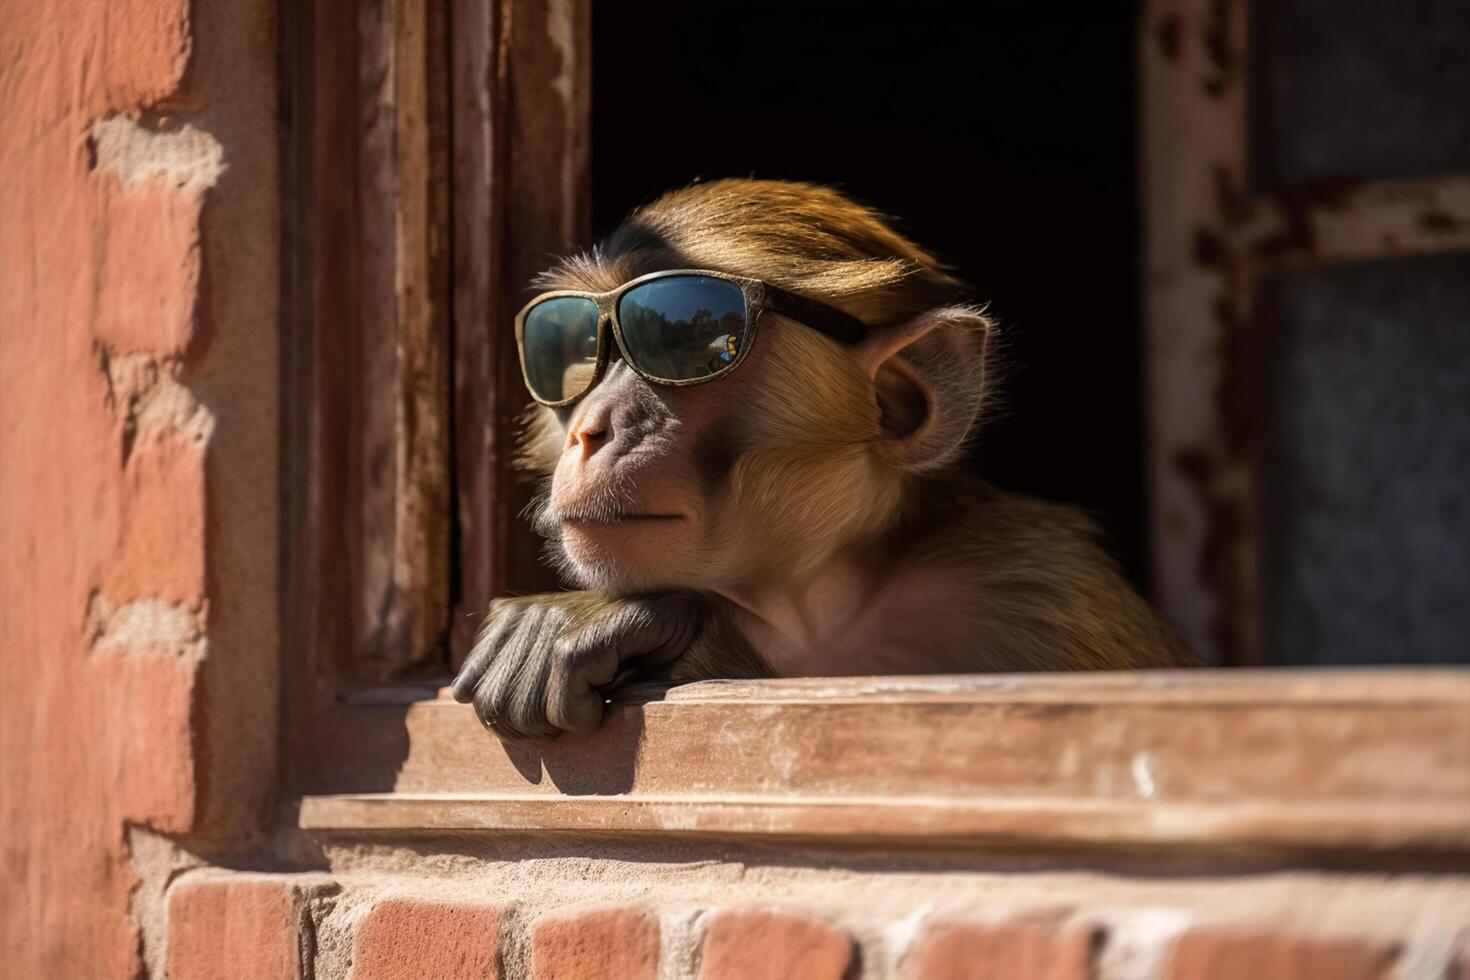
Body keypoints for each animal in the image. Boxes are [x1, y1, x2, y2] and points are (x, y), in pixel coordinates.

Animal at [452, 179, 1199, 740]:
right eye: (574, 351)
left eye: (689, 343)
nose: (592, 428)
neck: (819, 600)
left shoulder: (1037, 588)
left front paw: (616, 621)